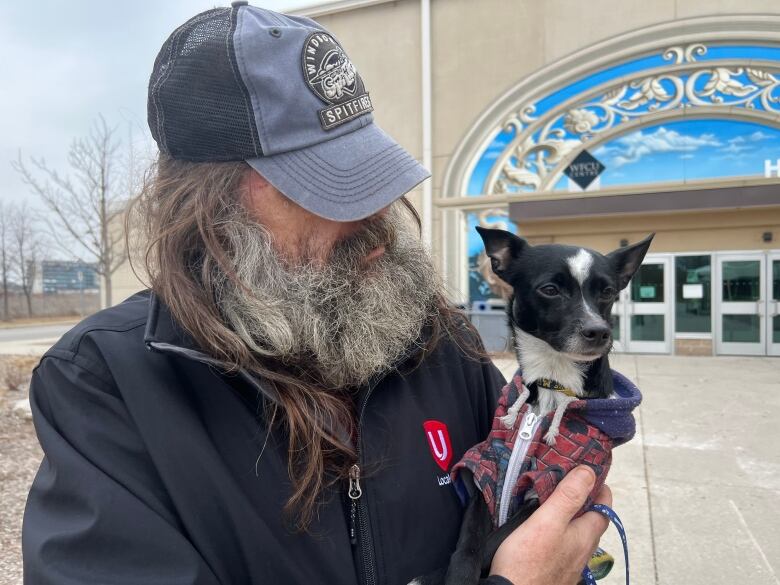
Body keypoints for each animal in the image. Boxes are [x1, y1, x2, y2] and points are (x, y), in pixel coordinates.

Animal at [412, 228, 656, 584]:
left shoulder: (552, 485)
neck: (552, 382)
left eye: (608, 291)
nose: (598, 331)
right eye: (550, 290)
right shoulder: (486, 468)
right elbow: (470, 542)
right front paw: (453, 574)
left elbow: (497, 543)